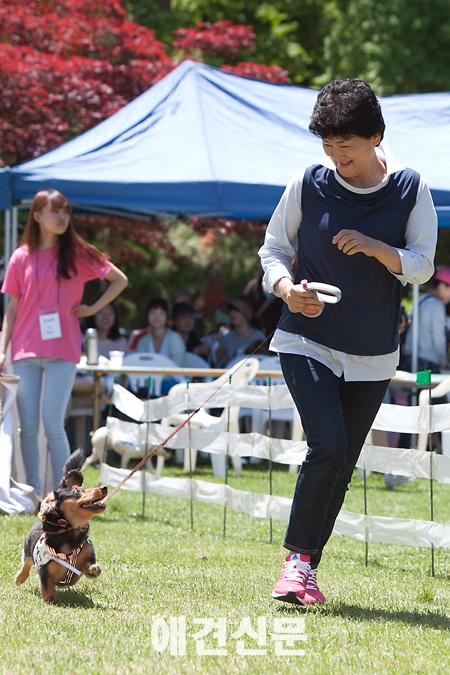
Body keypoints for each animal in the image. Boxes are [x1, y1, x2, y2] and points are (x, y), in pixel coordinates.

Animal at [14, 452, 108, 604]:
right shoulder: (44, 570)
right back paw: (19, 578)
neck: (69, 532)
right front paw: (49, 600)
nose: (104, 487)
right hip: (28, 549)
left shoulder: (87, 555)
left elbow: (88, 565)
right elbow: (47, 586)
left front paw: (94, 569)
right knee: (26, 563)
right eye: (77, 490)